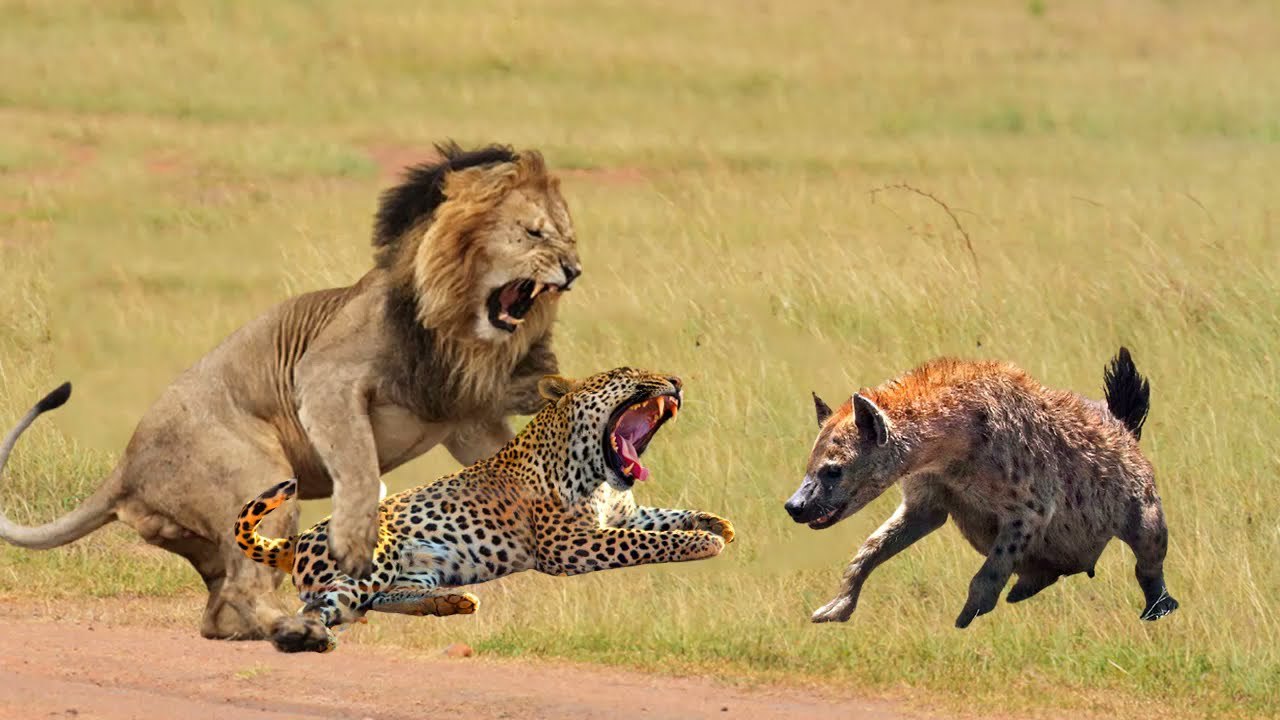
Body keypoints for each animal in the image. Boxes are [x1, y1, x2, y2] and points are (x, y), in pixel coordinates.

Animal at [0, 143, 582, 641]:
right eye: (533, 233)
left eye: (568, 236)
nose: (574, 270)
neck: (460, 331)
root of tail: (125, 467)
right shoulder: (324, 375)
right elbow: (358, 465)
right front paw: (354, 545)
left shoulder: (466, 418)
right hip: (262, 478)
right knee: (241, 588)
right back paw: (297, 630)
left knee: (219, 612)